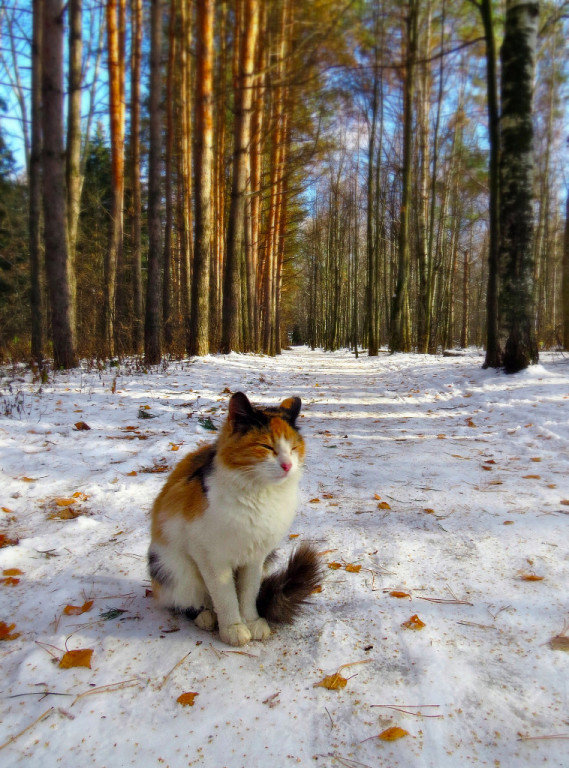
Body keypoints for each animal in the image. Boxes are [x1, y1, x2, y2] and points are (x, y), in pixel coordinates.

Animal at [149, 390, 322, 648]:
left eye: (293, 448)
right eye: (266, 446)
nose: (287, 465)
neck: (259, 495)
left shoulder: (255, 555)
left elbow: (248, 593)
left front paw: (251, 621)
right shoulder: (211, 557)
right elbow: (226, 597)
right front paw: (233, 628)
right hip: (173, 568)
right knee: (186, 600)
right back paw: (205, 616)